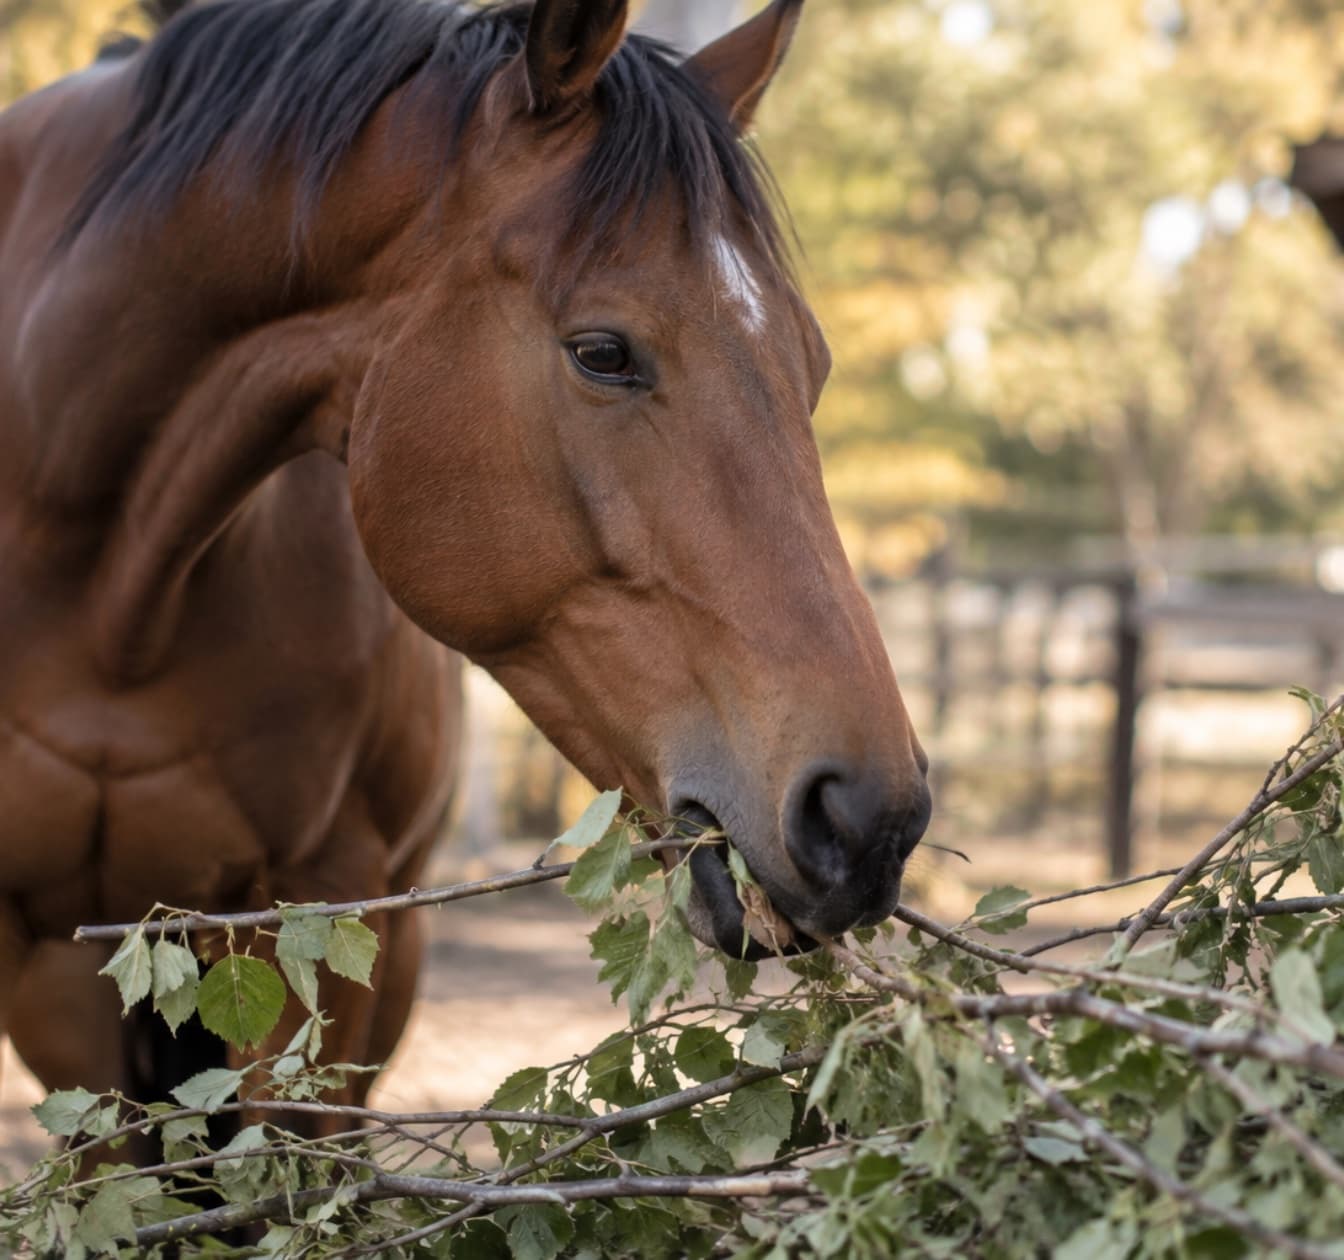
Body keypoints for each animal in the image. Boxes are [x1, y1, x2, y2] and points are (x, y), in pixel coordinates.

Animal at [0, 0, 931, 1126]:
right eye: (603, 353)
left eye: (814, 362)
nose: (871, 817)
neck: (108, 600)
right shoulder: (49, 968)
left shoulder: (322, 918)